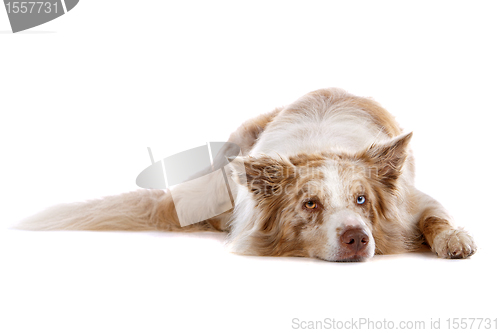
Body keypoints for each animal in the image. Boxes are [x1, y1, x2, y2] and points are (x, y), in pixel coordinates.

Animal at [15, 87, 476, 260]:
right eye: (310, 204)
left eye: (361, 199)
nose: (357, 238)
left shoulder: (414, 201)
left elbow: (436, 217)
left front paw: (454, 239)